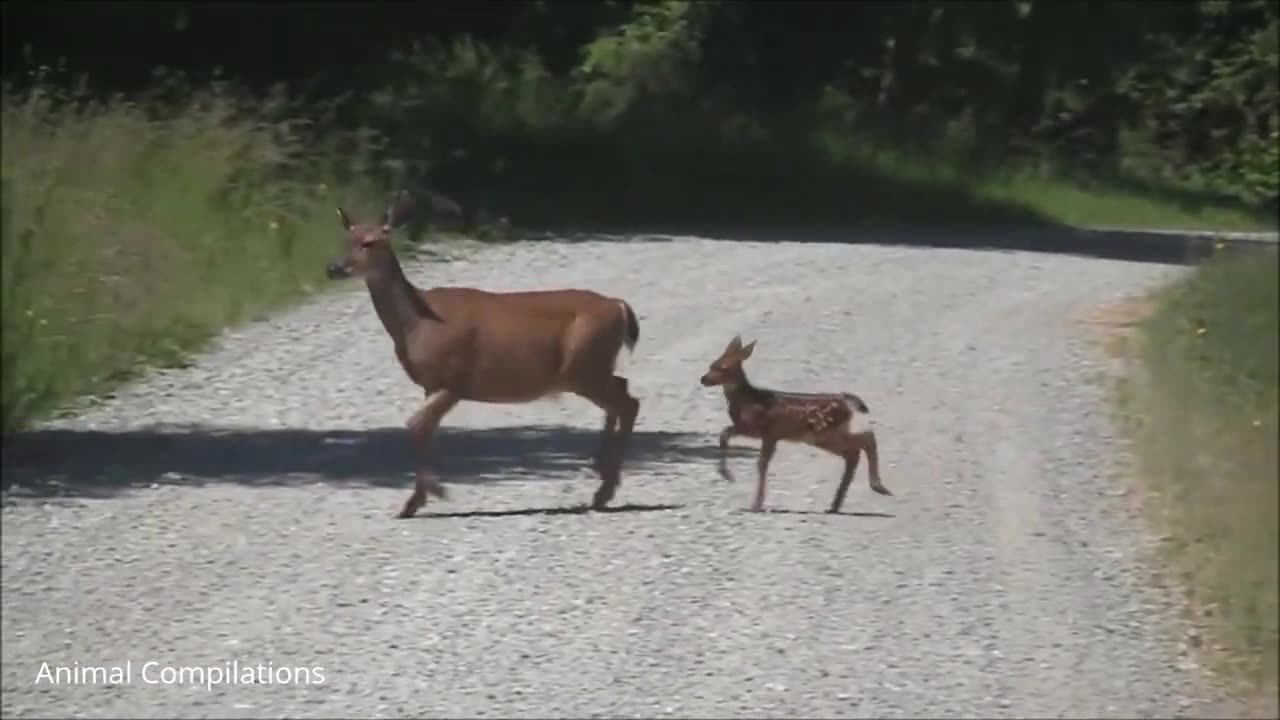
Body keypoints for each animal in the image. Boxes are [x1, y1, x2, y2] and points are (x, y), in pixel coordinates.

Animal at [327, 190, 640, 515]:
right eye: (345, 239)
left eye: (369, 242)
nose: (333, 268)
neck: (416, 324)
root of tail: (618, 306)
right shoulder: (431, 384)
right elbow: (424, 429)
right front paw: (418, 499)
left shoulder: (455, 378)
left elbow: (415, 425)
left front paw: (428, 495)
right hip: (589, 369)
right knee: (621, 393)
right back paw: (601, 473)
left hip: (583, 367)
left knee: (629, 403)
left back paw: (603, 490)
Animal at [701, 335, 890, 509]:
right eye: (711, 364)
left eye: (723, 367)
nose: (703, 379)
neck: (746, 400)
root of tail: (845, 402)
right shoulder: (763, 433)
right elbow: (731, 440)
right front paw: (731, 479)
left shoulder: (761, 430)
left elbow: (756, 459)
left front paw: (754, 502)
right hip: (826, 436)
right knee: (853, 453)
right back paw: (836, 504)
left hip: (825, 433)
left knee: (866, 438)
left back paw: (877, 487)